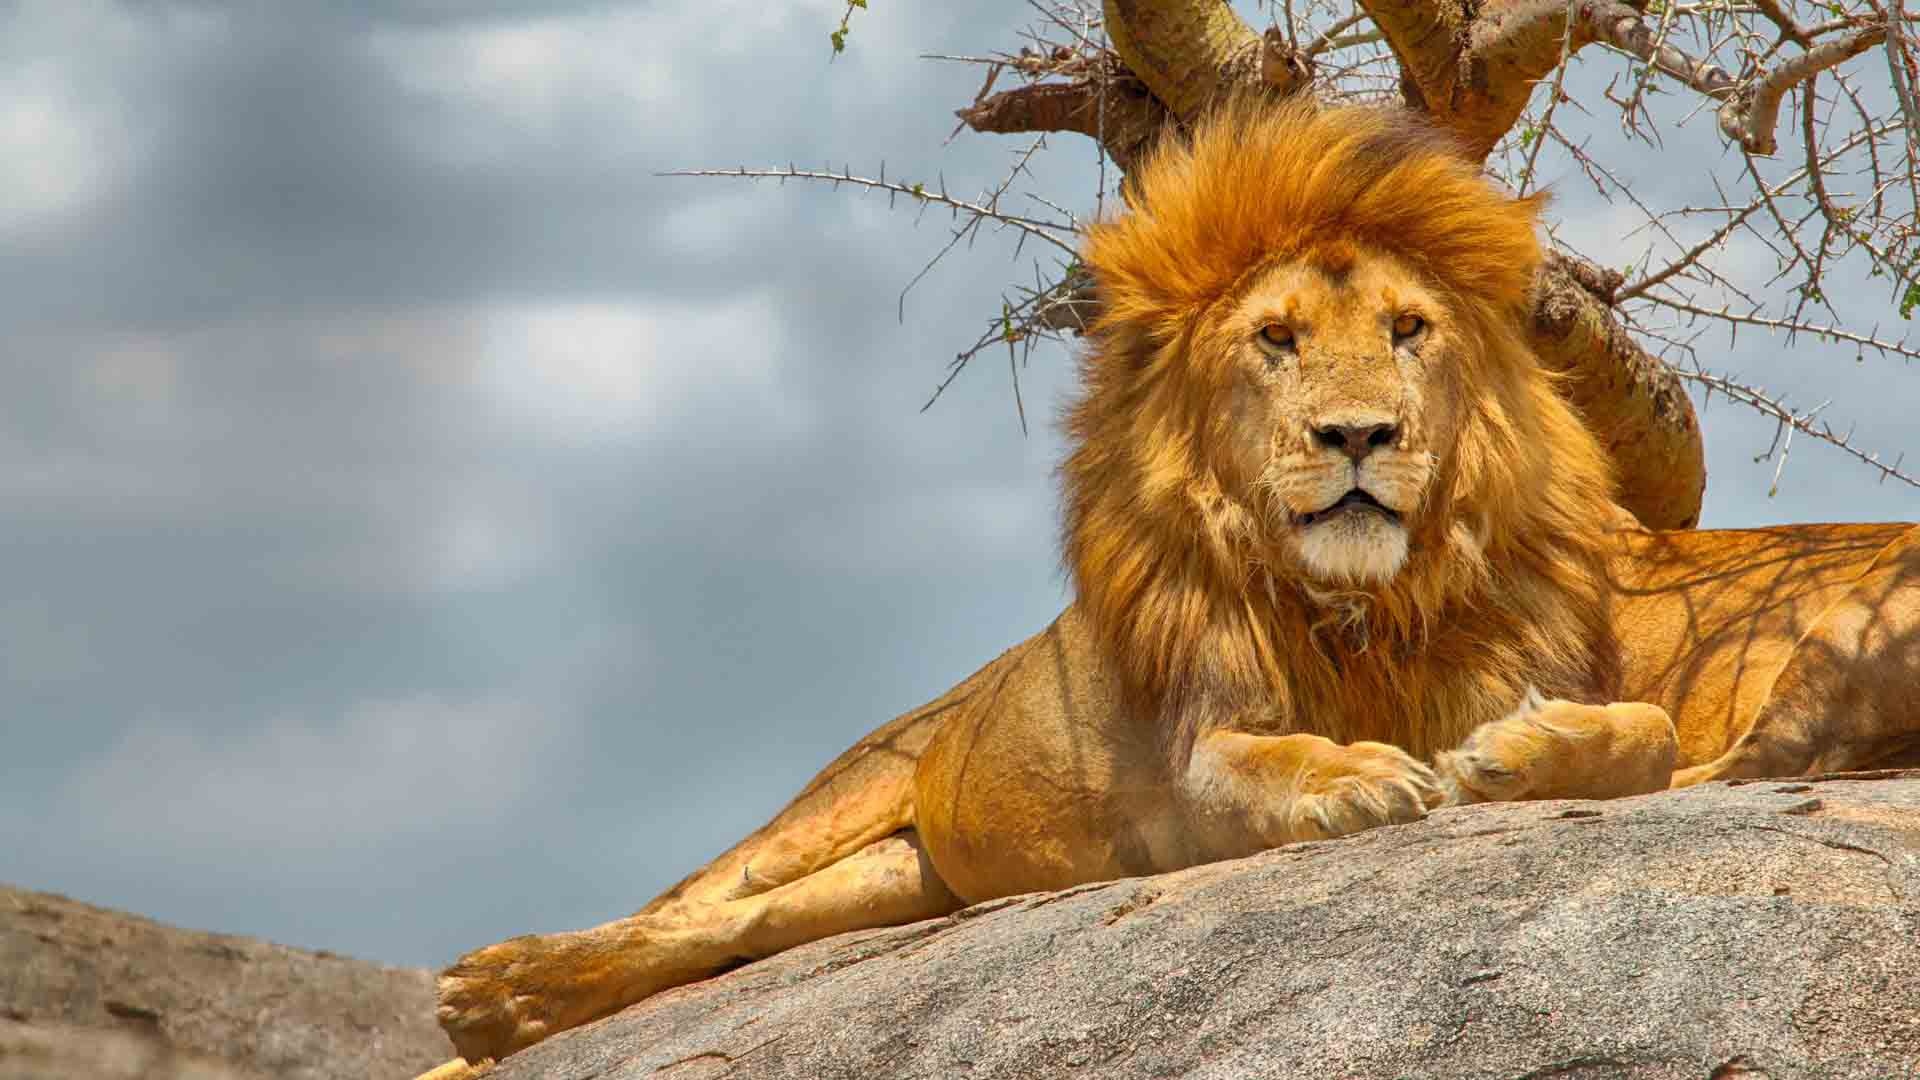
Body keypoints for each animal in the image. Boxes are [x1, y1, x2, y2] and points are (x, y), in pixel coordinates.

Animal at [420, 98, 1920, 1068]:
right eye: (1276, 340)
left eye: (1408, 331)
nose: (1360, 435)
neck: (1360, 612)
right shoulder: (1195, 754)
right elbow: (1268, 764)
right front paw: (1359, 778)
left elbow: (1646, 730)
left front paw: (1514, 759)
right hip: (851, 787)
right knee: (682, 906)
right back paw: (490, 1000)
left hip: (901, 882)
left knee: (737, 932)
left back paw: (510, 1012)